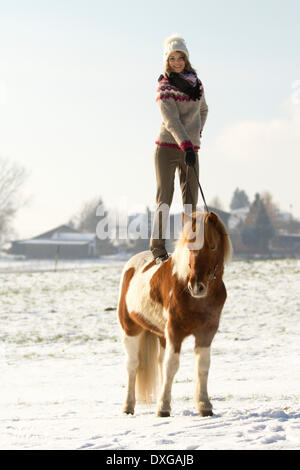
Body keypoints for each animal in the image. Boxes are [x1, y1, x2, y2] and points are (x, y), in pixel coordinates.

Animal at [117, 211, 232, 416]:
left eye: (212, 246)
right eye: (189, 246)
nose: (196, 287)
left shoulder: (206, 333)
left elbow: (202, 366)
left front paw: (204, 405)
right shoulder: (175, 332)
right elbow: (171, 366)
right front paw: (163, 408)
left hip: (161, 336)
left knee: (159, 362)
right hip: (131, 330)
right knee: (132, 366)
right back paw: (128, 406)